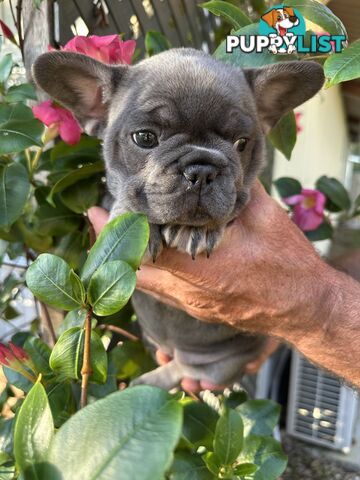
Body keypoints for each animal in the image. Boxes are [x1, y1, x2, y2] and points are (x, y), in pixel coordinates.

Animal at [33, 47, 324, 390]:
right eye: (145, 138)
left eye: (241, 143)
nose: (202, 169)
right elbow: (126, 197)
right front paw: (133, 221)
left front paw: (196, 230)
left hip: (220, 365)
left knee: (185, 370)